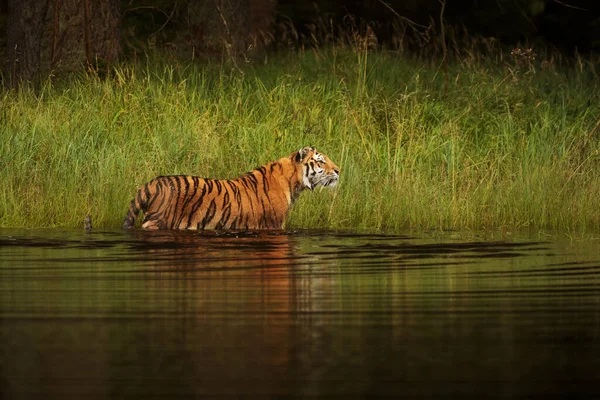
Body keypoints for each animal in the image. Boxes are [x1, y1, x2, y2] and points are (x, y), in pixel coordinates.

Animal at [120, 146, 342, 228]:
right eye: (321, 161)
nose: (339, 170)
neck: (294, 183)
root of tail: (152, 183)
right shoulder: (273, 225)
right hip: (156, 222)